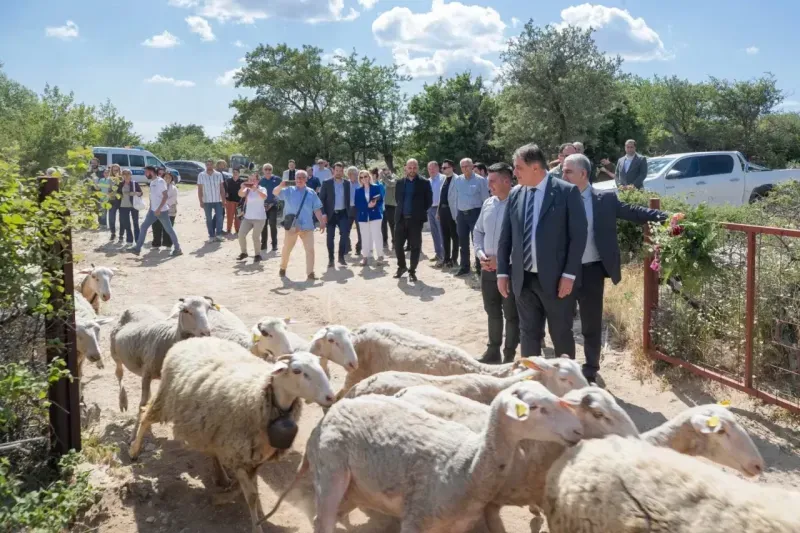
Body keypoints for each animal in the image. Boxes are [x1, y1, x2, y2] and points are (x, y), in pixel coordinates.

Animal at [130, 338, 336, 532]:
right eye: (297, 371)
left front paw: (239, 498)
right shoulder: (238, 454)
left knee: (211, 450)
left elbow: (252, 489)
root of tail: (190, 340)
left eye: (320, 366)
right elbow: (252, 496)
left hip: (210, 425)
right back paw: (134, 451)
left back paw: (221, 476)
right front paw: (256, 526)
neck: (261, 395)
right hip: (166, 398)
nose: (330, 397)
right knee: (146, 416)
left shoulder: (255, 456)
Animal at [266, 380, 584, 532]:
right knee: (324, 521)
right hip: (331, 474)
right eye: (537, 408)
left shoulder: (456, 527)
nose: (577, 429)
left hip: (354, 488)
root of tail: (330, 415)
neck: (467, 465)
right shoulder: (415, 519)